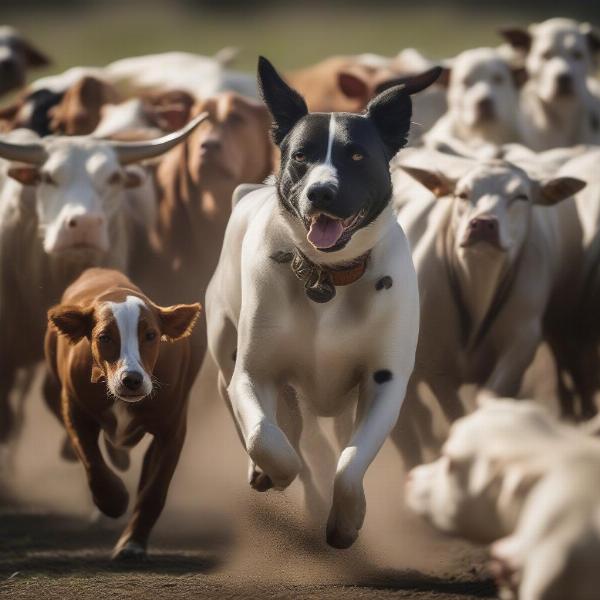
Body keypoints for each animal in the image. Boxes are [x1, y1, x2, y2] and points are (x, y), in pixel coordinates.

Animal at [43, 270, 202, 560]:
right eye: (104, 336)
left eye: (150, 335)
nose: (132, 380)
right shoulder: (75, 408)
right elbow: (93, 463)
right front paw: (114, 500)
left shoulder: (172, 427)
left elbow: (154, 489)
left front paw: (131, 542)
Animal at [205, 57, 436, 548]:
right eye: (300, 156)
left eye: (356, 155)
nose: (320, 192)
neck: (329, 277)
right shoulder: (255, 374)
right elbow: (268, 437)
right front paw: (277, 473)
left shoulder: (384, 380)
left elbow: (350, 464)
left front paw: (347, 520)